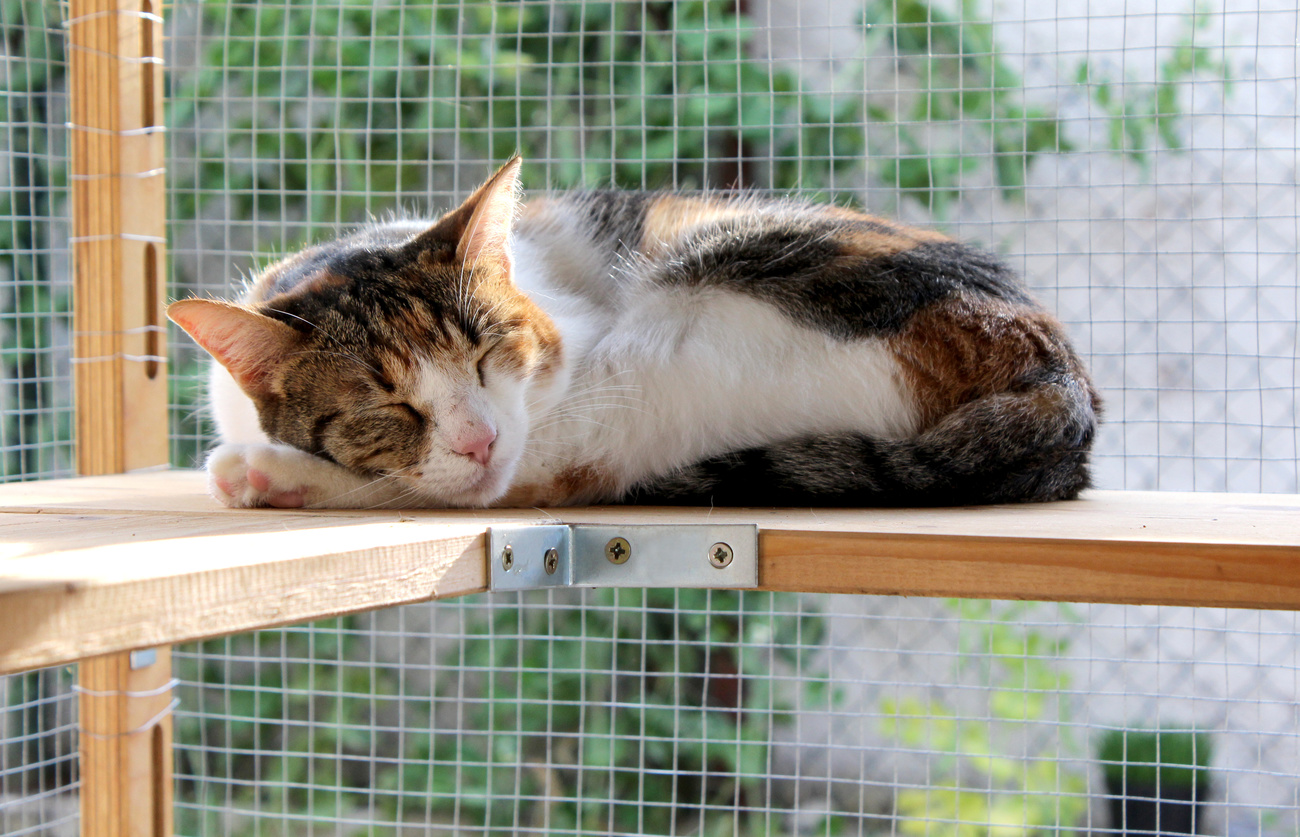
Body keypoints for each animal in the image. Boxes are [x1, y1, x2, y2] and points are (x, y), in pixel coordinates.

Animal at [165, 157, 1097, 509]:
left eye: (488, 352)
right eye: (384, 406)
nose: (479, 437)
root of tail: (1062, 385)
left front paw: (276, 467)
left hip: (678, 332)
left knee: (556, 472)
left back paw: (268, 475)